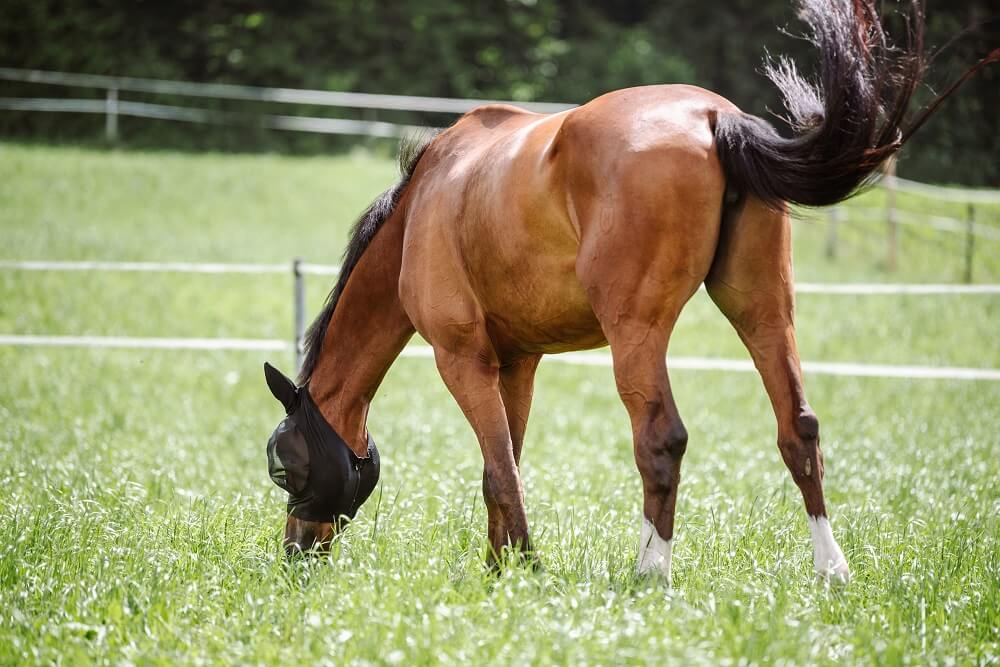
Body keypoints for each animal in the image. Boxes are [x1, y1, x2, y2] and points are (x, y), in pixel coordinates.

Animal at [262, 0, 996, 584]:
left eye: (282, 466)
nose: (295, 551)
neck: (428, 201)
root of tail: (714, 119)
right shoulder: (517, 363)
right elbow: (504, 464)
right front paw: (499, 567)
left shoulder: (462, 357)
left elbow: (500, 468)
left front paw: (525, 567)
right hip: (762, 310)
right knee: (800, 429)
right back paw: (831, 570)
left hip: (635, 334)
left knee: (661, 440)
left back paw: (651, 570)